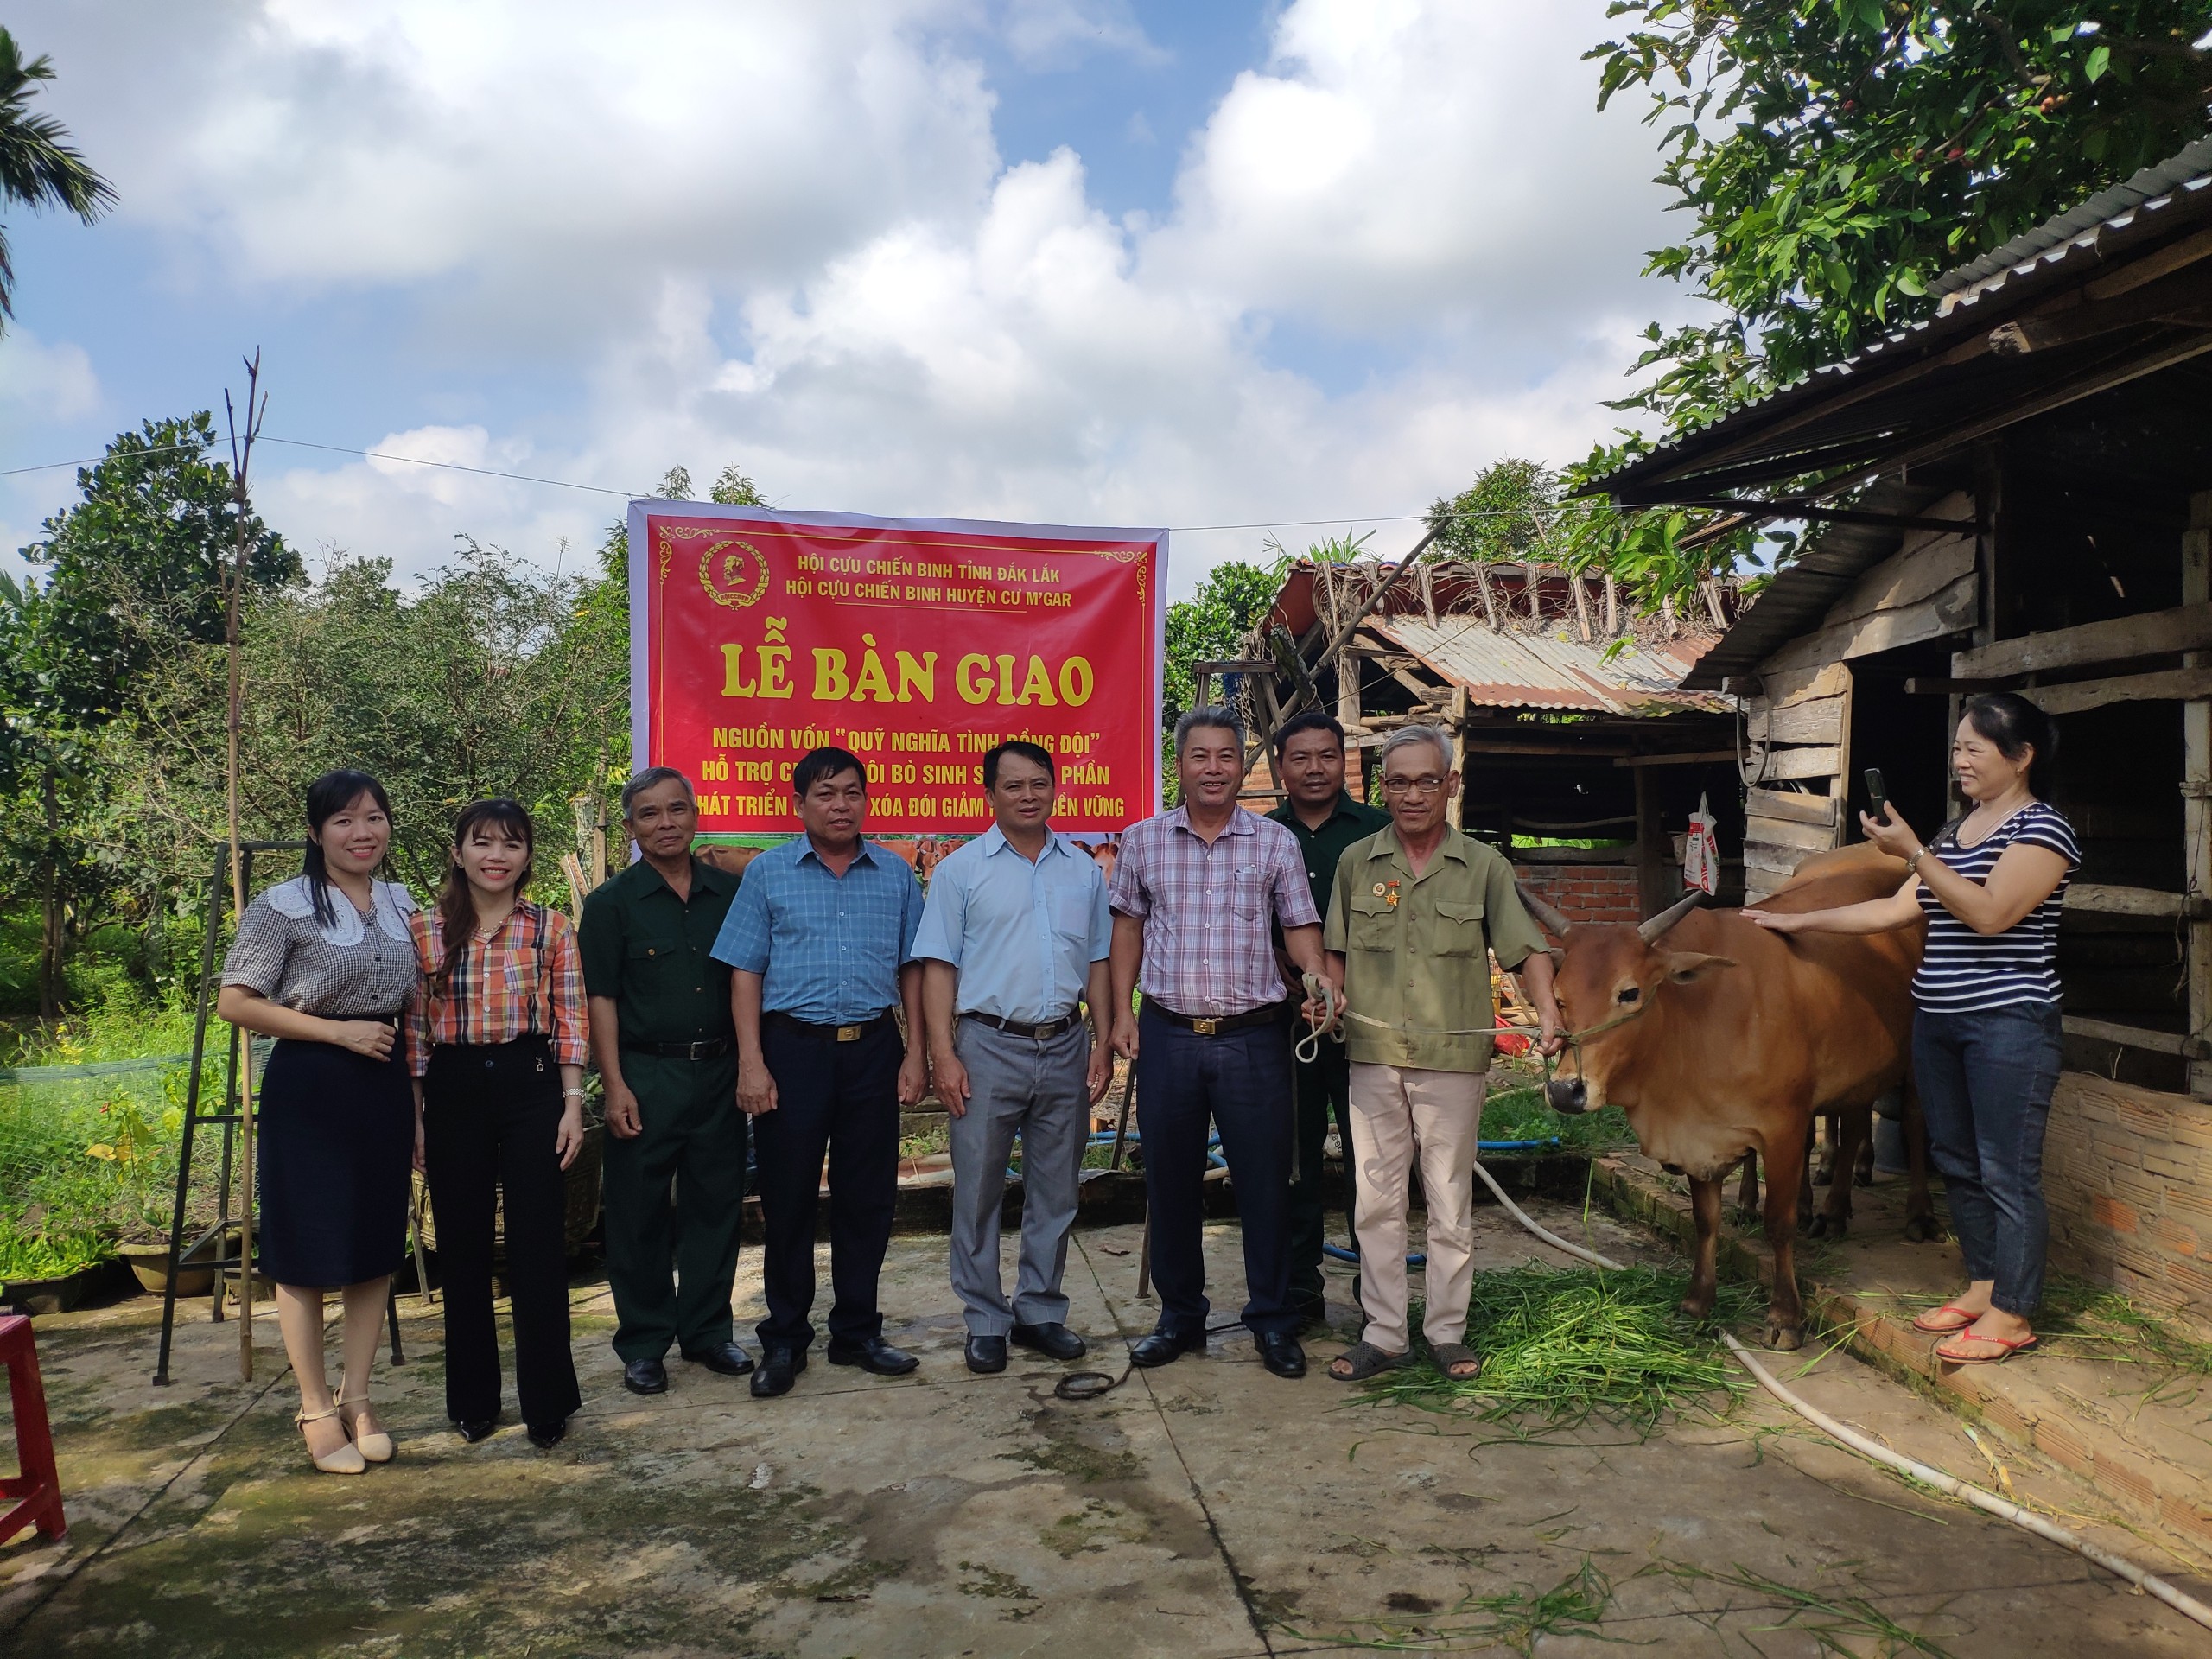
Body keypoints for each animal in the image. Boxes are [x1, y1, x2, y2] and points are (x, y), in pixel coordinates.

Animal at [1530, 844, 1929, 1353]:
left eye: (1630, 992)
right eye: (1558, 998)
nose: (1566, 1090)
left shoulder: (1782, 1127)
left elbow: (1779, 1224)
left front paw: (1785, 1316)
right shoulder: (1701, 1136)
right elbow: (1705, 1219)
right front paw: (1697, 1302)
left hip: (1915, 1056)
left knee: (1914, 1120)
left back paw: (1917, 1216)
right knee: (1857, 1122)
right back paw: (1833, 1212)